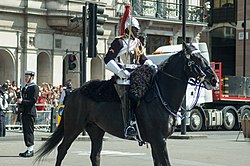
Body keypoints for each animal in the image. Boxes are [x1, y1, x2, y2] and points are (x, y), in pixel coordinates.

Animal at [36, 43, 218, 165]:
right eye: (195, 58)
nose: (214, 79)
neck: (160, 95)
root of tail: (73, 92)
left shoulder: (156, 142)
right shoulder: (159, 140)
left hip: (96, 130)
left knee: (95, 155)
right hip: (73, 128)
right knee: (62, 150)